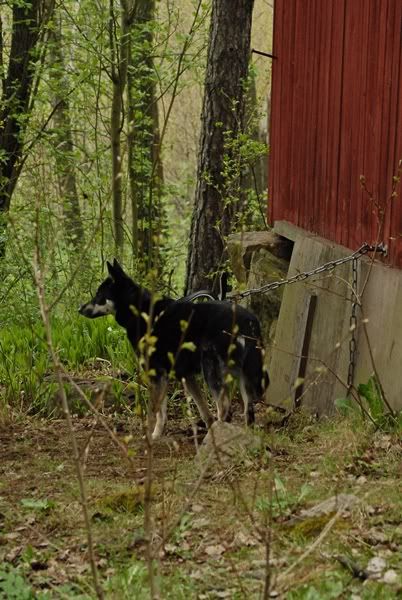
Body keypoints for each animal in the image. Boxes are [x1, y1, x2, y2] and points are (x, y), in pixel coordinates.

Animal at [79, 259, 269, 439]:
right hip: (244, 377)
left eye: (99, 295)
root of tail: (248, 321)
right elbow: (204, 411)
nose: (79, 308)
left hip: (212, 372)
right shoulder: (186, 376)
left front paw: (153, 436)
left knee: (224, 408)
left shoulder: (157, 375)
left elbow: (157, 411)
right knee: (248, 411)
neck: (141, 312)